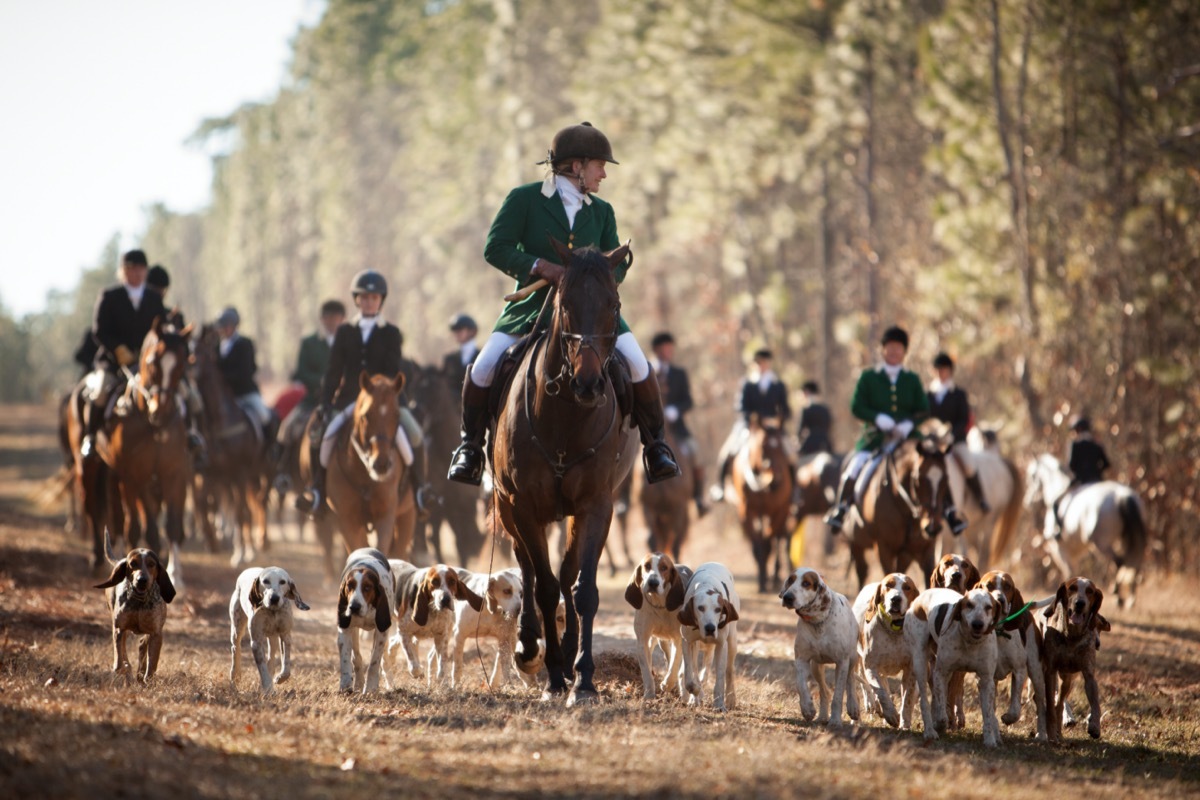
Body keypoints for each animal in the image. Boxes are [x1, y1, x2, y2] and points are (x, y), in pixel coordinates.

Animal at [300, 371, 417, 578]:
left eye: (396, 415)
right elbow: (359, 550)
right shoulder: (347, 520)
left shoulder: (385, 517)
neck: (365, 478)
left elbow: (381, 550)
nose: (382, 464)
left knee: (400, 550)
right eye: (366, 416)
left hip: (407, 515)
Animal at [489, 241, 638, 705]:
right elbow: (544, 586)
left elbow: (583, 589)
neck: (566, 418)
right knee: (528, 567)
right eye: (565, 304)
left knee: (568, 572)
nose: (588, 384)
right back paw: (529, 646)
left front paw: (584, 678)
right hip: (508, 506)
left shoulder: (597, 506)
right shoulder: (523, 506)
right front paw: (554, 675)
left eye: (614, 304)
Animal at [729, 419, 796, 594]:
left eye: (780, 447)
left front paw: (768, 577)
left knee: (778, 539)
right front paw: (761, 579)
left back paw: (776, 574)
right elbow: (758, 544)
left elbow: (769, 542)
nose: (777, 480)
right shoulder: (746, 512)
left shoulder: (778, 511)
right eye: (763, 446)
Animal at [844, 438, 955, 587]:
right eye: (917, 479)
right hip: (856, 544)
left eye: (946, 479)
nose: (932, 526)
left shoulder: (925, 549)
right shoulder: (883, 547)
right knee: (862, 571)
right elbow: (888, 574)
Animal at [1017, 455, 1147, 606]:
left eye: (1031, 476)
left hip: (1101, 543)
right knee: (1133, 563)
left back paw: (1117, 596)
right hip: (1124, 541)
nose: (1028, 502)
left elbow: (1068, 571)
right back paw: (1130, 599)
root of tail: (1123, 496)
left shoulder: (1059, 549)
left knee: (1119, 562)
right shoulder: (1075, 552)